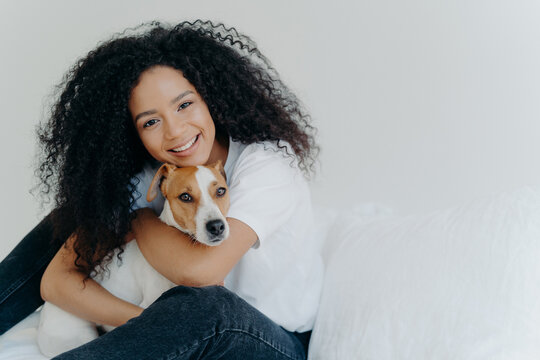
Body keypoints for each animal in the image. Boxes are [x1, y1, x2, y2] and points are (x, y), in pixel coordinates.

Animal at [35, 162, 230, 358]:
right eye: (185, 197)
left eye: (221, 191)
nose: (216, 226)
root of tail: (42, 317)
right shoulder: (148, 303)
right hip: (79, 334)